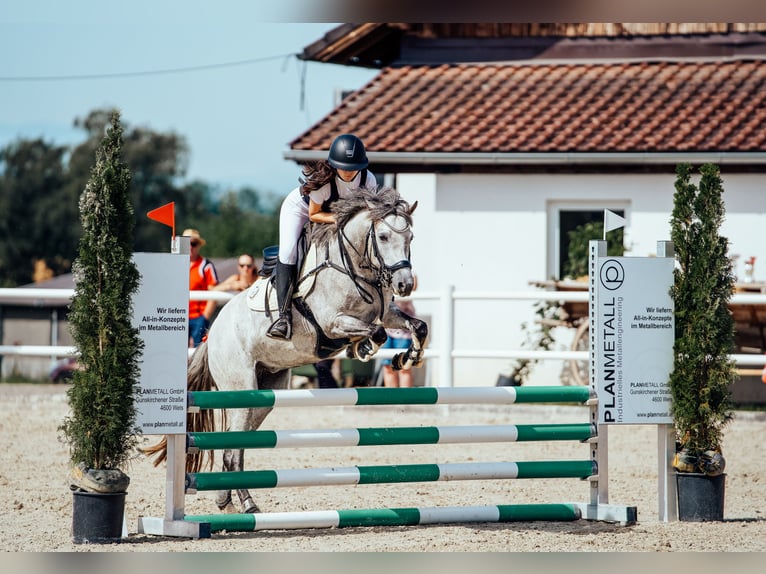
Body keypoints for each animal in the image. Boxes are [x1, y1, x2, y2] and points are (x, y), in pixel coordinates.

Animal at [147, 188, 428, 512]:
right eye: (382, 236)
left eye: (411, 237)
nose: (405, 284)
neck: (354, 266)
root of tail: (211, 336)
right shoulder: (332, 322)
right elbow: (377, 332)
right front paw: (365, 348)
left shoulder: (387, 312)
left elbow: (416, 326)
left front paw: (408, 357)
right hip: (241, 387)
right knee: (232, 450)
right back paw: (246, 505)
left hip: (265, 393)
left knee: (235, 445)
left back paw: (227, 501)